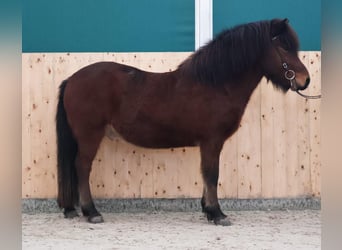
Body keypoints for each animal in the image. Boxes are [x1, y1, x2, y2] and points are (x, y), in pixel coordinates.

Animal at [55, 18, 310, 226]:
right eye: (283, 46)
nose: (304, 80)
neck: (216, 85)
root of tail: (72, 79)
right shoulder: (212, 141)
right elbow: (212, 174)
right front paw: (217, 214)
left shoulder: (209, 143)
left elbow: (206, 174)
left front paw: (208, 210)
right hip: (89, 135)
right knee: (82, 167)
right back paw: (92, 212)